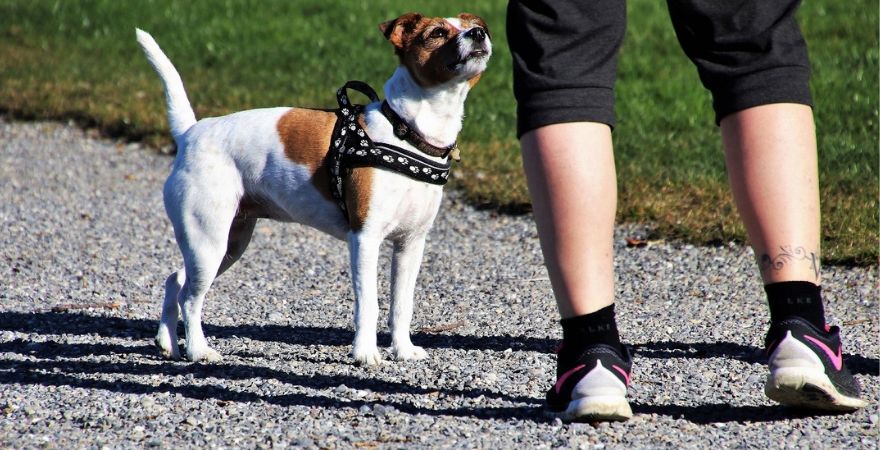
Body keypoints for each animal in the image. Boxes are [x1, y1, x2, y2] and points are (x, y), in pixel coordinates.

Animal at [137, 13, 492, 366]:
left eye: (476, 26)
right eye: (437, 33)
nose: (478, 33)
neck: (406, 133)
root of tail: (190, 133)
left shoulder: (410, 245)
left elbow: (402, 305)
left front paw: (403, 350)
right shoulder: (365, 239)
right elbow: (369, 304)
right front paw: (365, 353)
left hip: (226, 245)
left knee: (175, 280)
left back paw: (167, 342)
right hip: (208, 242)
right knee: (190, 298)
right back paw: (198, 350)